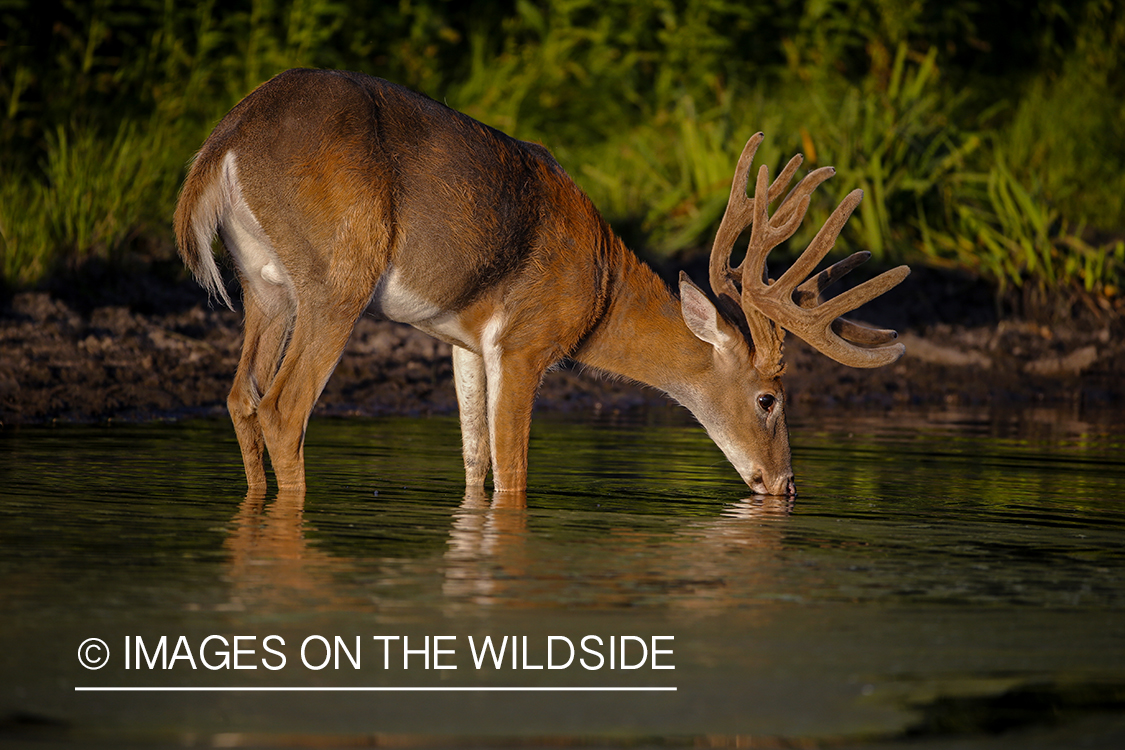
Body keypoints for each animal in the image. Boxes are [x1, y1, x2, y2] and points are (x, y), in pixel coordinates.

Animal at [177, 68, 913, 499]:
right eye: (768, 398)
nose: (785, 485)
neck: (598, 291)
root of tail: (225, 140)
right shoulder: (527, 340)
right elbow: (513, 475)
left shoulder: (465, 341)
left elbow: (474, 463)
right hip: (337, 278)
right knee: (282, 407)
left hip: (265, 286)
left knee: (240, 397)